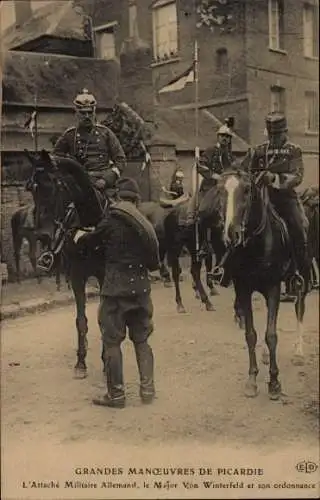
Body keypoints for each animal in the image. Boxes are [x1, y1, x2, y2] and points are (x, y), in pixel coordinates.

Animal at [199, 168, 312, 398]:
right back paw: (266, 355)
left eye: (247, 190)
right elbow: (251, 334)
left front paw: (274, 382)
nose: (231, 233)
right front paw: (252, 380)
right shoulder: (243, 289)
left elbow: (271, 335)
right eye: (220, 191)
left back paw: (298, 351)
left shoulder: (273, 288)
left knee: (299, 307)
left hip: (302, 279)